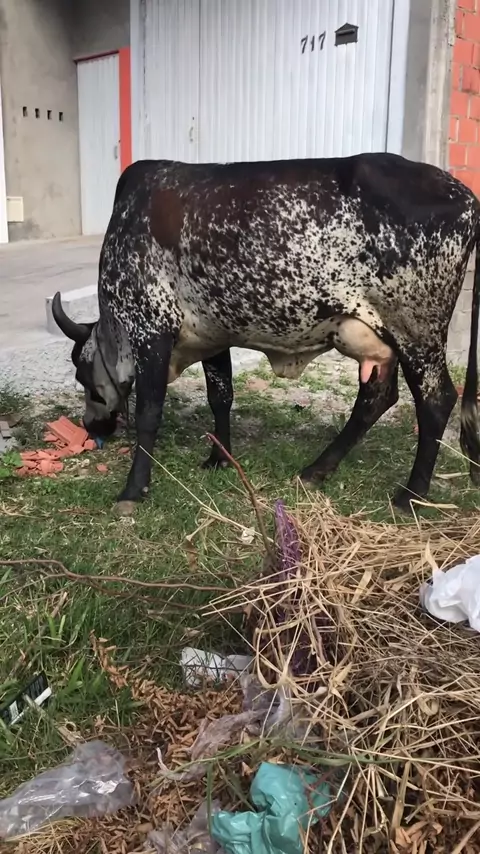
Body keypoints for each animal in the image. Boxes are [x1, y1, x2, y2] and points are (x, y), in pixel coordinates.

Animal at [52, 154, 480, 515]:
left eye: (83, 377)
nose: (91, 426)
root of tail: (466, 197)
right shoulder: (213, 335)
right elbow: (220, 396)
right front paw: (218, 458)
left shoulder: (151, 328)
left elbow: (148, 412)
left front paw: (133, 489)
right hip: (379, 338)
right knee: (377, 398)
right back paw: (316, 470)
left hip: (417, 331)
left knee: (436, 401)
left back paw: (410, 496)